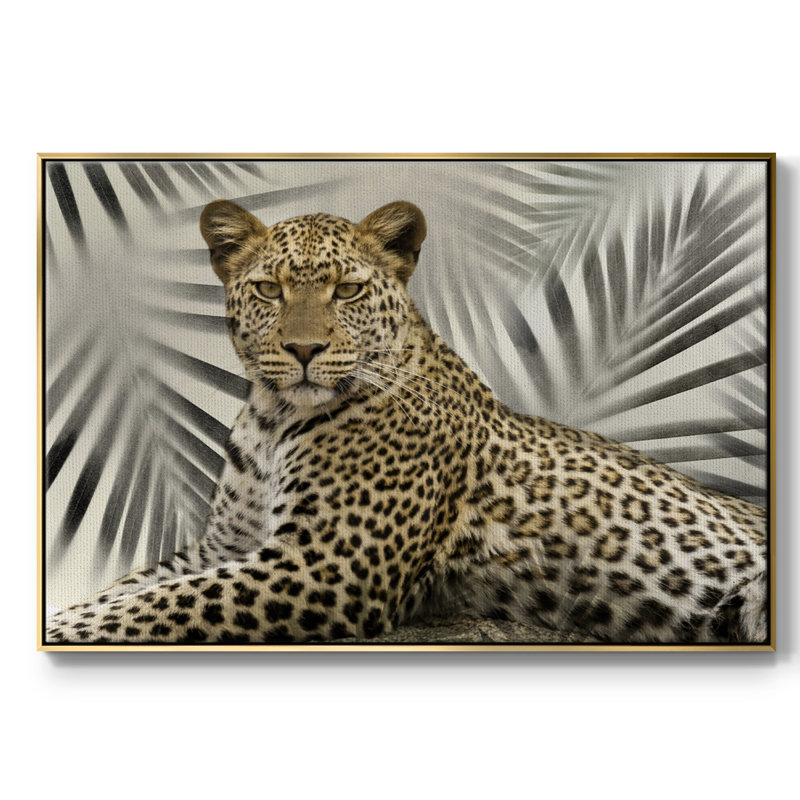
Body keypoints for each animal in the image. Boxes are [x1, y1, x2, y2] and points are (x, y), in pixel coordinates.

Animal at [45, 199, 769, 646]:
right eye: (269, 289)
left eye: (347, 290)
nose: (303, 350)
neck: (274, 418)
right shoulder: (225, 545)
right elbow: (131, 589)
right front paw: (70, 611)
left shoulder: (326, 564)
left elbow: (160, 605)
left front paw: (64, 630)